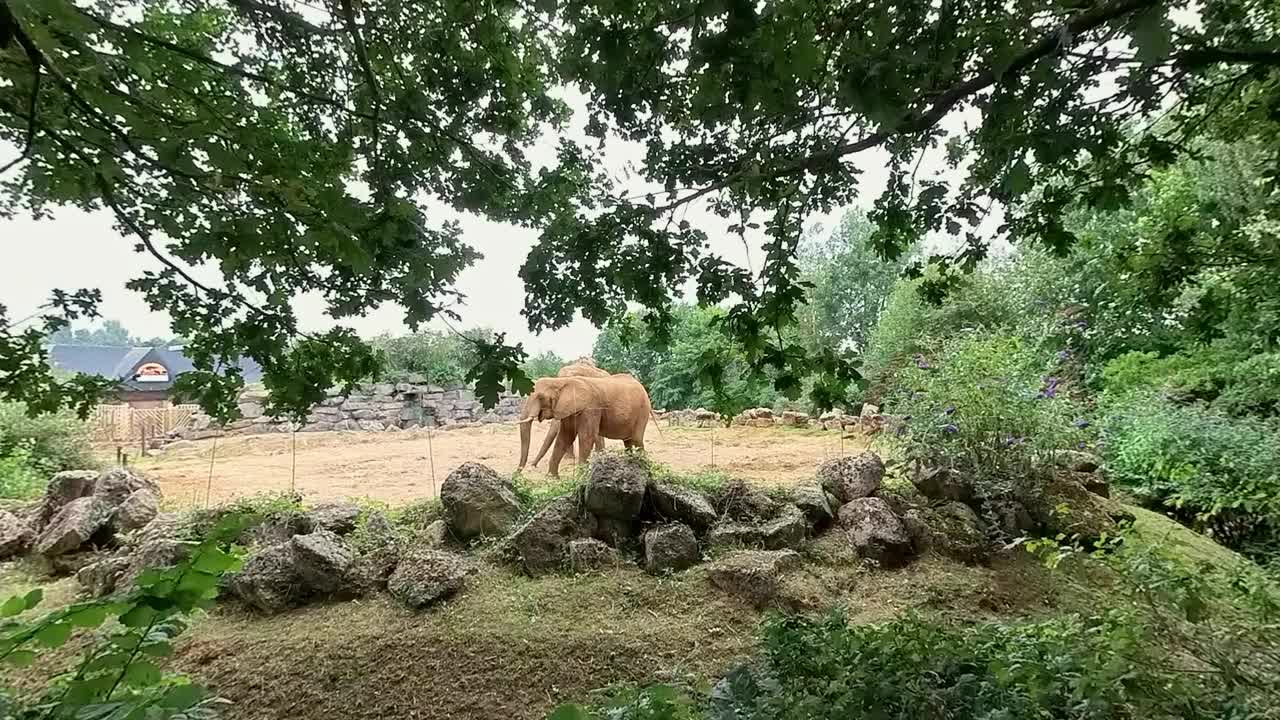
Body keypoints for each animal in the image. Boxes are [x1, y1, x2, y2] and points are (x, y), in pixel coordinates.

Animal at [514, 368, 655, 476]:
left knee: (637, 440)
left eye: (541, 397)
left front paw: (580, 477)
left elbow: (586, 436)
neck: (562, 381)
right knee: (628, 441)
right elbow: (565, 437)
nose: (517, 474)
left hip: (643, 411)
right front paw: (552, 478)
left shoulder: (591, 407)